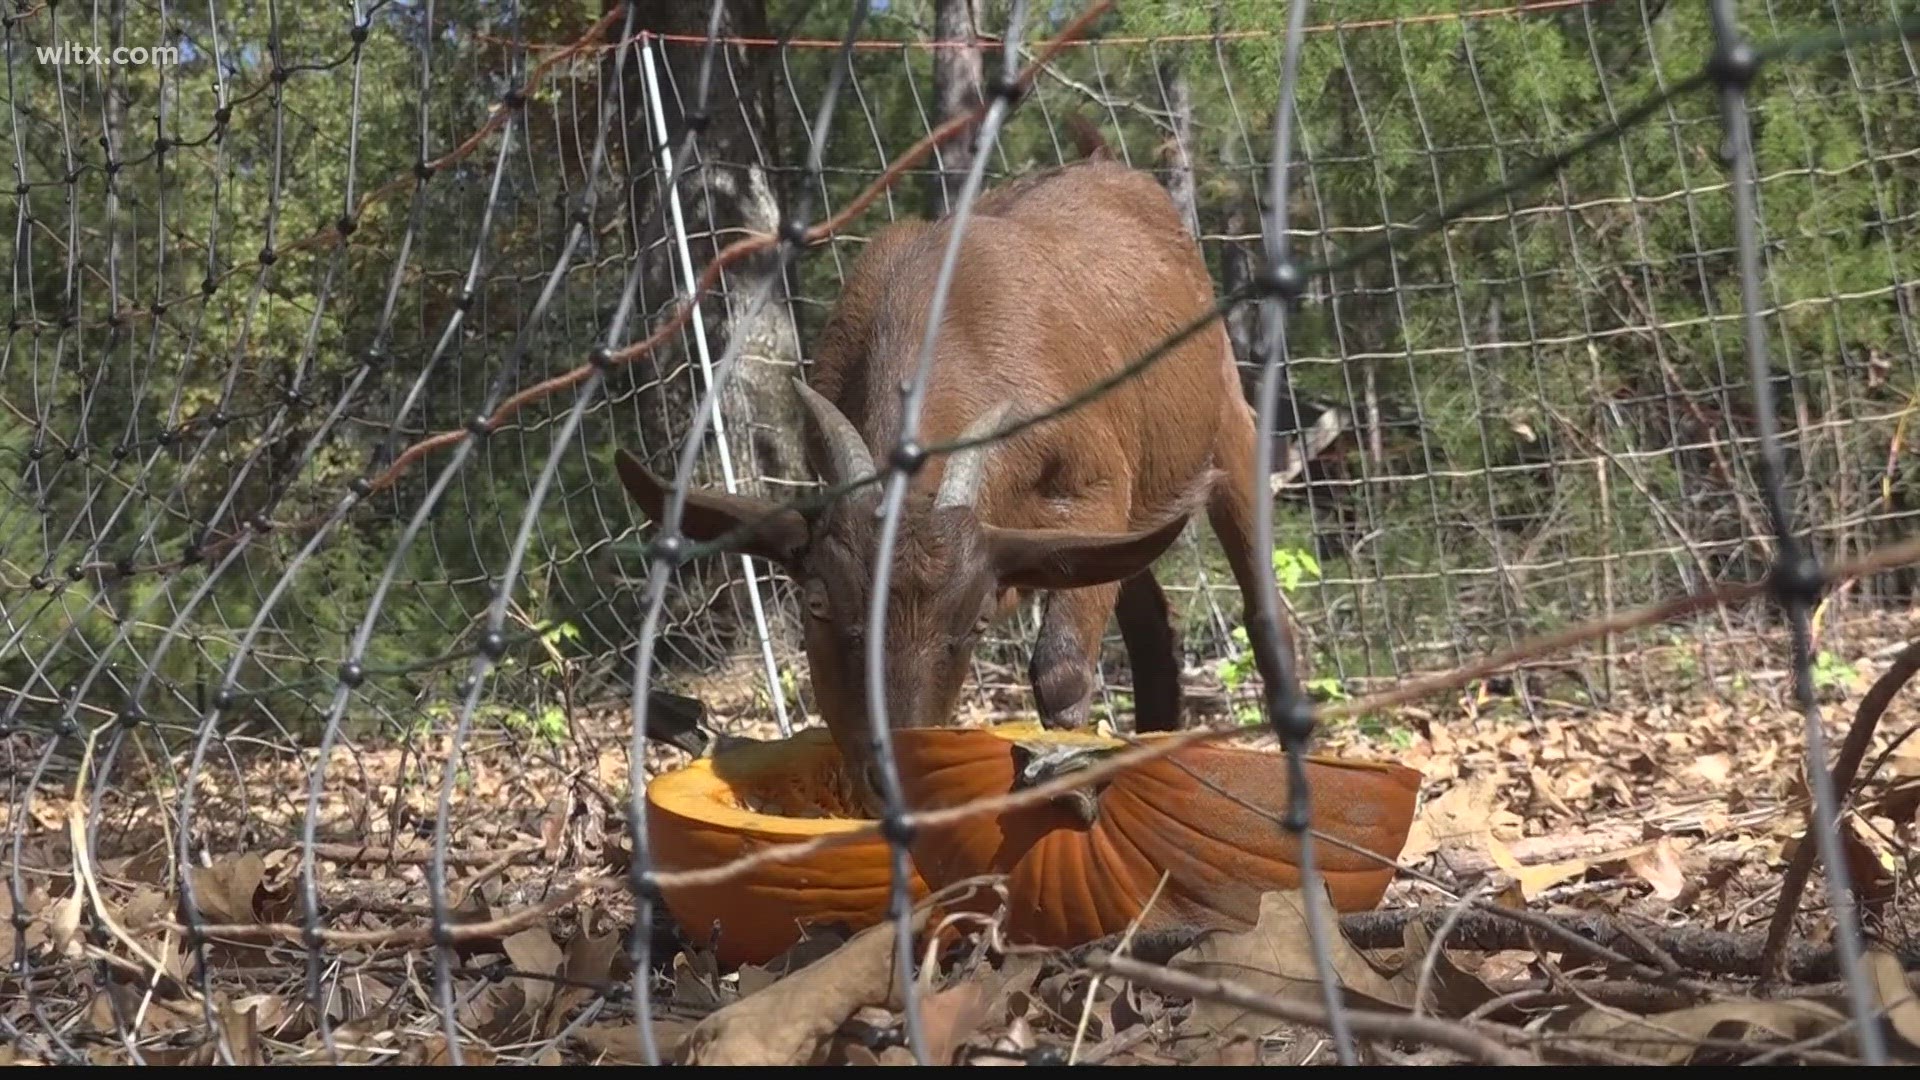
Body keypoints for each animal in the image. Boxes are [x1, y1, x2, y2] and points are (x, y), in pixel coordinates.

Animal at [614, 123, 1297, 764]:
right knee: (1152, 621)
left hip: (1226, 420)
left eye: (974, 624)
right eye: (816, 604)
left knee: (1264, 614)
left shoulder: (1098, 483)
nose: (893, 760)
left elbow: (1061, 674)